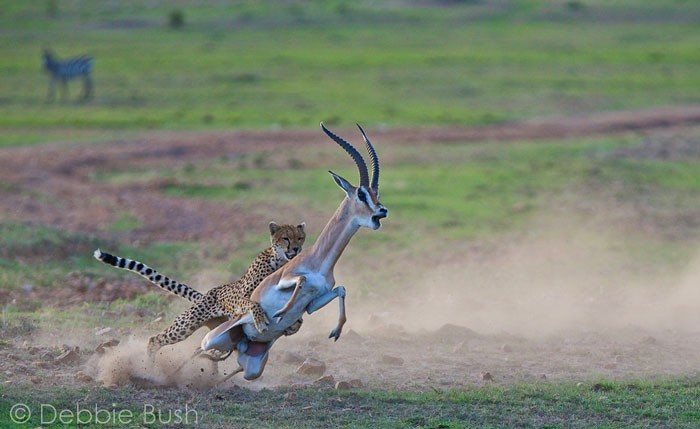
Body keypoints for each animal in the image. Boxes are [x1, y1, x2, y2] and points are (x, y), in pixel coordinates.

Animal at [92, 221, 304, 354]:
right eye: (286, 238)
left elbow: (296, 316)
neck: (279, 261)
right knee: (156, 339)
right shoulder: (239, 297)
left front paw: (293, 326)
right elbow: (253, 303)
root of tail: (206, 294)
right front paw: (260, 320)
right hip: (185, 324)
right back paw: (149, 368)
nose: (296, 249)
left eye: (300, 238)